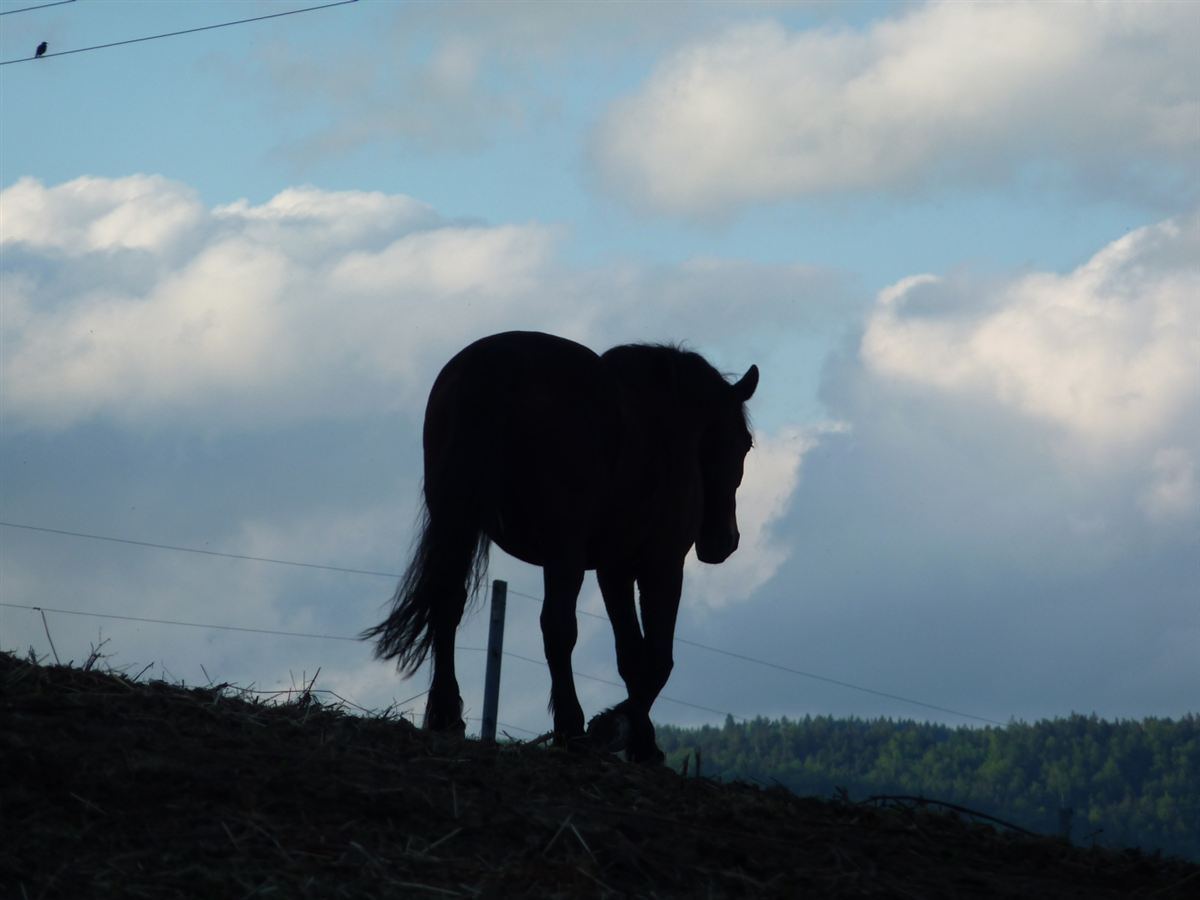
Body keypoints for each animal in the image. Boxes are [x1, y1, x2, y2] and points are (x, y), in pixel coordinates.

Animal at [363, 330, 758, 762]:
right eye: (745, 444)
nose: (725, 542)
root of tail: (491, 367)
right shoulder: (662, 563)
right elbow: (656, 660)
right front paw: (618, 729)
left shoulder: (615, 568)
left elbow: (631, 656)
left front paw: (639, 739)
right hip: (561, 550)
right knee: (557, 627)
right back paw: (571, 726)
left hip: (457, 525)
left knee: (447, 604)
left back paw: (446, 715)